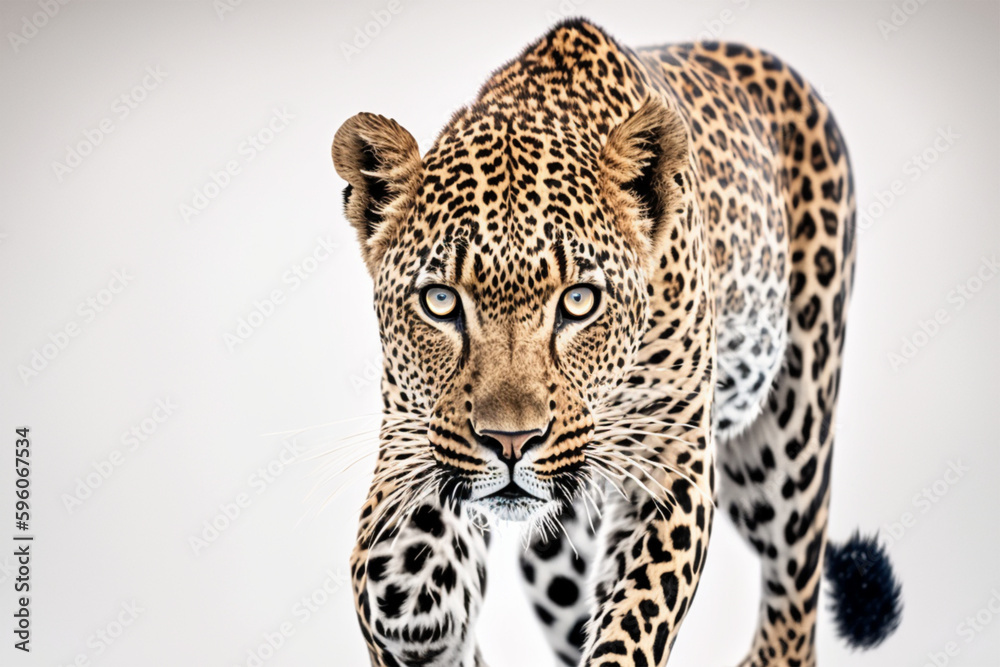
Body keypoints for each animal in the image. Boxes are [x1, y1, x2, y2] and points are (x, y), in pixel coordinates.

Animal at [330, 18, 902, 667]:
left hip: (789, 439)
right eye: (441, 302)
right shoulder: (410, 435)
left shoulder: (673, 467)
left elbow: (637, 614)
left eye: (579, 301)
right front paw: (424, 611)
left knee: (793, 596)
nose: (511, 443)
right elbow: (390, 566)